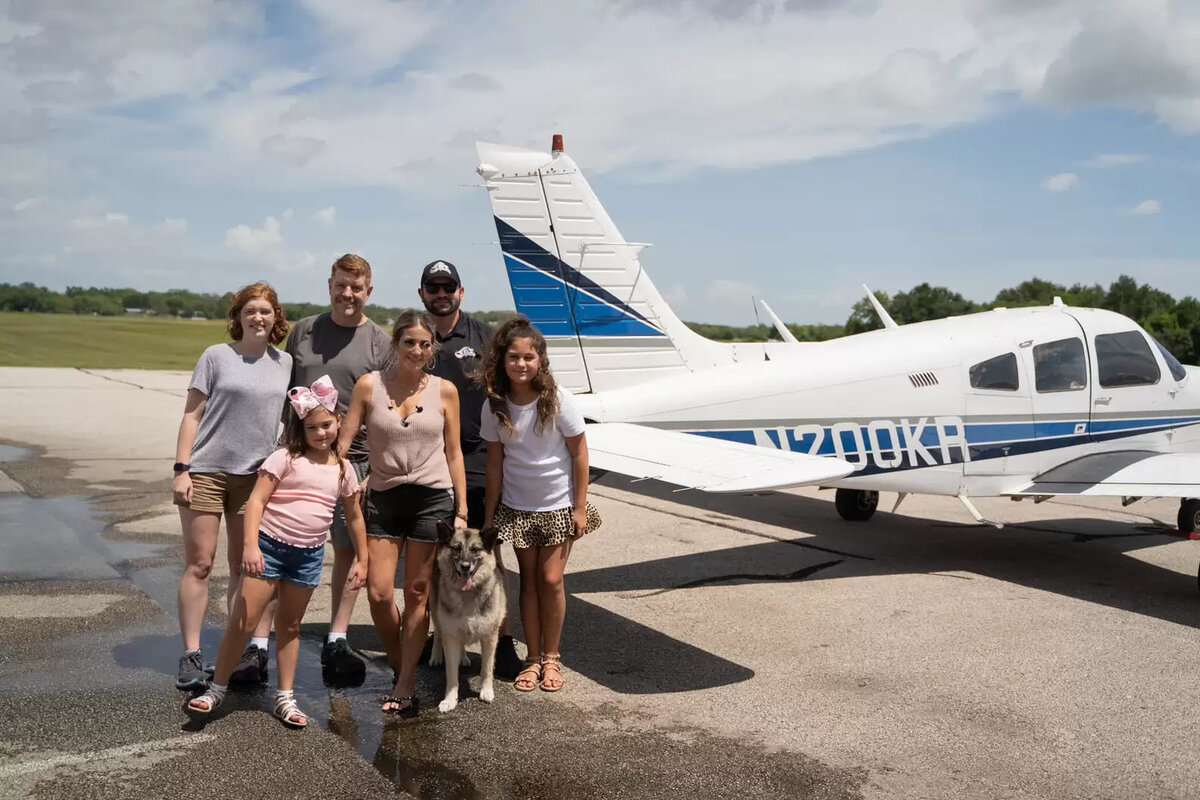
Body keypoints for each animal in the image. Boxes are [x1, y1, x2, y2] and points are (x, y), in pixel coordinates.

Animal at [429, 520, 504, 714]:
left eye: (475, 550)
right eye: (456, 548)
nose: (464, 566)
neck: (467, 593)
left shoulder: (490, 637)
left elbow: (487, 668)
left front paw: (486, 690)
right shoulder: (450, 636)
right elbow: (451, 674)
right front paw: (450, 699)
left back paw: (463, 657)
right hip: (436, 613)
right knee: (438, 634)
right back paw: (436, 656)